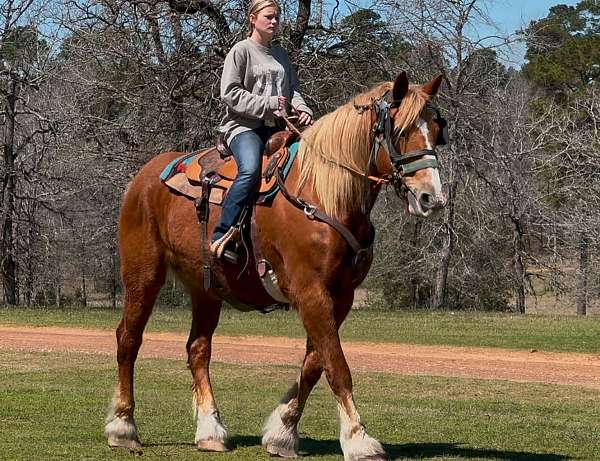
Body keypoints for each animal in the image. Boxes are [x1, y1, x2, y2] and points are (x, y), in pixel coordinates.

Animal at [105, 73, 448, 460]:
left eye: (437, 130)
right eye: (400, 131)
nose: (432, 198)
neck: (322, 195)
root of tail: (145, 177)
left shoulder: (340, 296)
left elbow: (315, 364)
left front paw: (283, 432)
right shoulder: (310, 292)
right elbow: (337, 366)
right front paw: (358, 438)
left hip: (206, 288)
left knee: (198, 349)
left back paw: (210, 430)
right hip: (143, 275)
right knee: (128, 340)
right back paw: (123, 427)